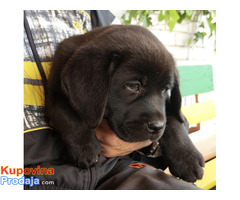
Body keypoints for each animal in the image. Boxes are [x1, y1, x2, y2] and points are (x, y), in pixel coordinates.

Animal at [46, 25, 204, 183]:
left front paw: (188, 158)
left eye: (165, 89)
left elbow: (173, 118)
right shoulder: (53, 93)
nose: (157, 127)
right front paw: (85, 146)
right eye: (133, 86)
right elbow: (65, 112)